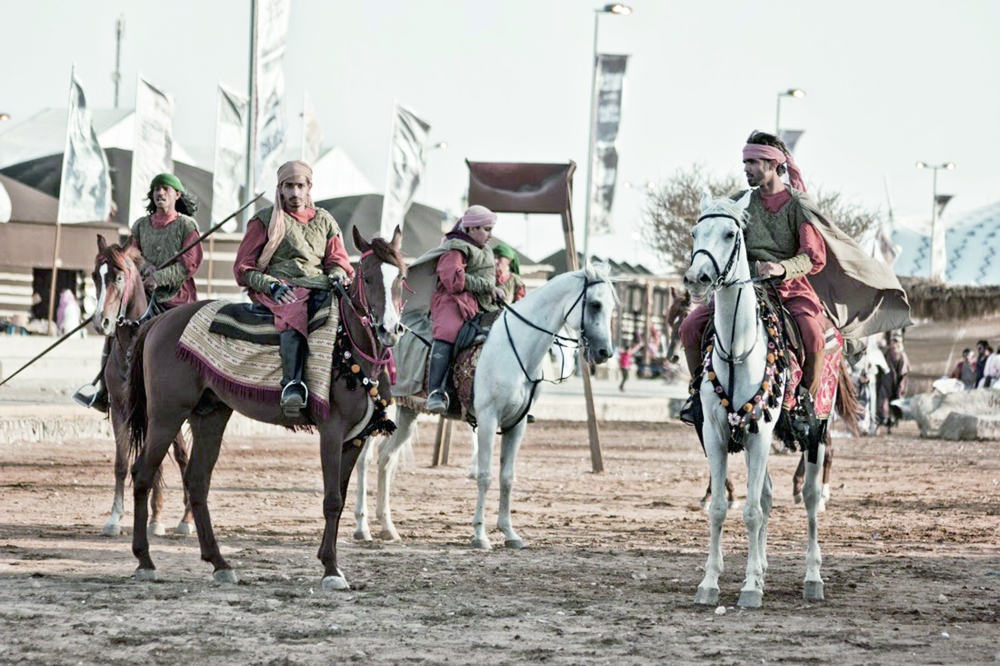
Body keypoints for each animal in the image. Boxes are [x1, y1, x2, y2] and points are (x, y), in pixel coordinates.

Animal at [90, 236, 193, 536]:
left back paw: (185, 518)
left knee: (184, 456)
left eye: (119, 277)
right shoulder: (122, 409)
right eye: (95, 276)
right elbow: (122, 462)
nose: (101, 322)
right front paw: (115, 518)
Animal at [126, 226, 406, 588]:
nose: (389, 329)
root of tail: (160, 322)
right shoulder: (331, 432)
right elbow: (332, 499)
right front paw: (331, 569)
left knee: (197, 482)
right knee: (143, 474)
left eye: (402, 276)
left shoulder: (356, 439)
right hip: (166, 415)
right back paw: (145, 560)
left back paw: (219, 563)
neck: (348, 346)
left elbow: (341, 499)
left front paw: (328, 560)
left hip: (210, 416)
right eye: (368, 277)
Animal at [352, 262, 616, 548]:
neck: (517, 346)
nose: (605, 352)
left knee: (387, 458)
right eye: (595, 304)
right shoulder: (489, 420)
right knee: (364, 460)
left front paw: (510, 533)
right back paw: (362, 526)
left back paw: (387, 526)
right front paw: (480, 534)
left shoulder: (517, 425)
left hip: (407, 413)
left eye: (612, 306)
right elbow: (486, 475)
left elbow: (507, 478)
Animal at [680, 192, 828, 608]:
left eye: (731, 233)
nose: (697, 278)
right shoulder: (716, 435)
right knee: (766, 497)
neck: (738, 349)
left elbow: (750, 513)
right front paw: (711, 583)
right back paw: (761, 571)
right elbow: (721, 508)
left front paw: (748, 589)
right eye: (695, 231)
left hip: (816, 432)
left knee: (810, 498)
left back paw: (813, 578)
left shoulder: (760, 435)